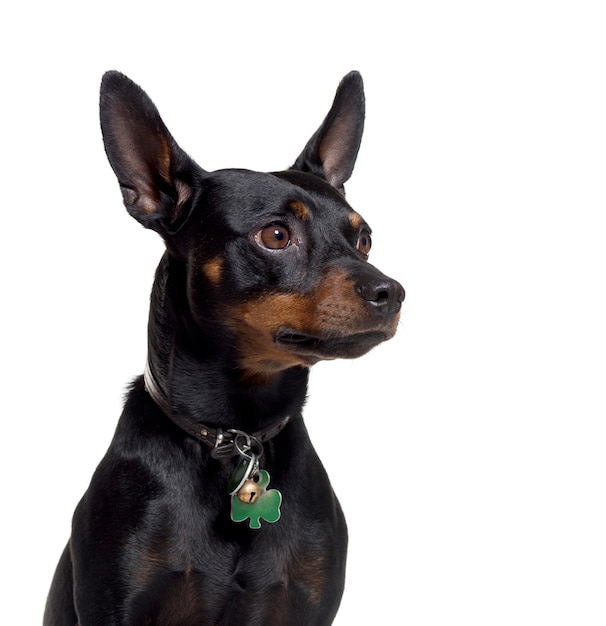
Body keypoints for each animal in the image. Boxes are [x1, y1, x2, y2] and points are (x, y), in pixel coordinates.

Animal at [45, 69, 406, 624]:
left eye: (364, 239)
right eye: (276, 235)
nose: (392, 292)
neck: (236, 433)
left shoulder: (309, 604)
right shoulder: (116, 606)